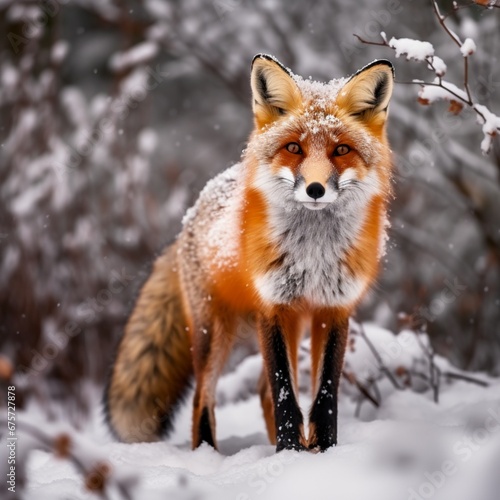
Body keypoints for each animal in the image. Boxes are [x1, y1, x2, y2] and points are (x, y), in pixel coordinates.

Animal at [105, 54, 394, 454]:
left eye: (341, 150)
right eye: (294, 148)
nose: (315, 189)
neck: (313, 253)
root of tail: (190, 215)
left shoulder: (334, 308)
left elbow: (324, 397)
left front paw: (321, 451)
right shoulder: (272, 306)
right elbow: (285, 393)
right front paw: (289, 454)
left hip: (291, 323)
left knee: (260, 392)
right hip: (214, 332)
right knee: (204, 398)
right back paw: (208, 454)